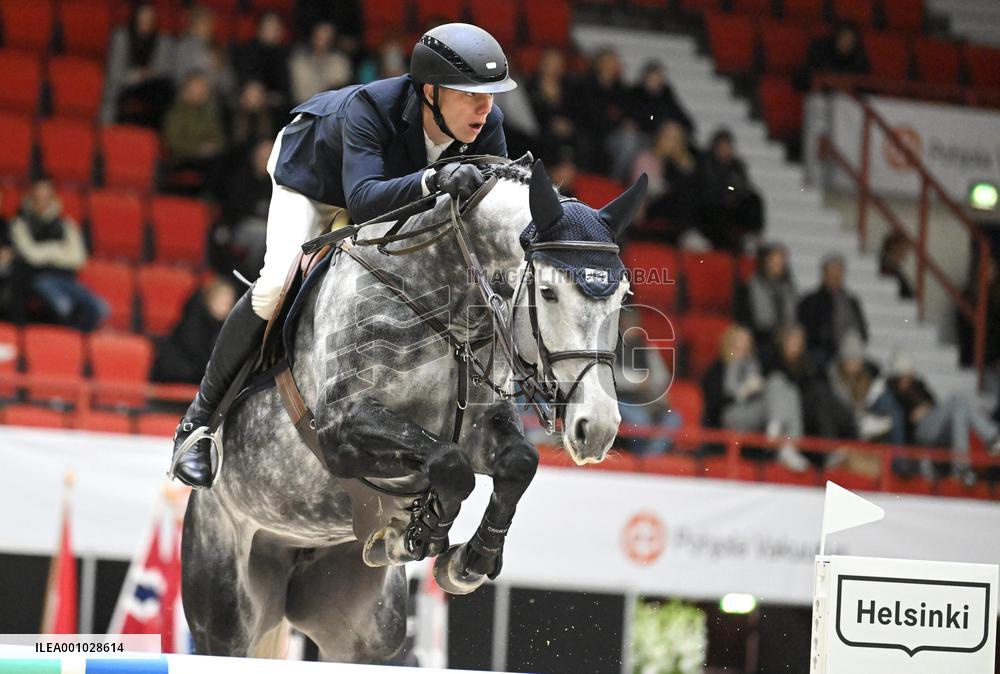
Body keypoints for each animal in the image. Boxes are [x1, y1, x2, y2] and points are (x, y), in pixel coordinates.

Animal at [180, 157, 648, 662]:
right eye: (548, 292)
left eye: (622, 295)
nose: (596, 428)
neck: (443, 301)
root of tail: (291, 552)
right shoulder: (340, 433)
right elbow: (449, 462)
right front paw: (420, 533)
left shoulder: (482, 426)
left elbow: (517, 462)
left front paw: (466, 560)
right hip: (224, 614)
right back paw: (193, 452)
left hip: (366, 632)